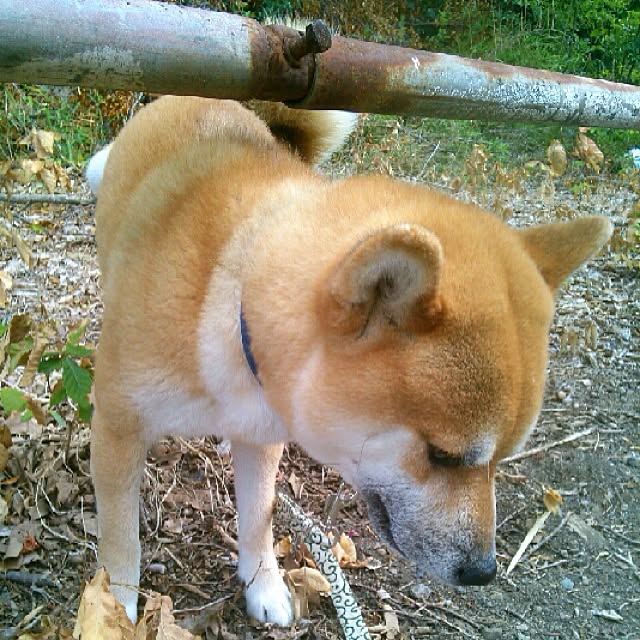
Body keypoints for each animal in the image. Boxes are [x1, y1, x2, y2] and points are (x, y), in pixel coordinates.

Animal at [87, 96, 612, 624]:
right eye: (441, 455)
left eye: (503, 459)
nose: (483, 572)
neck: (233, 293)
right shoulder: (117, 425)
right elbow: (121, 539)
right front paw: (114, 613)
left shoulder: (259, 436)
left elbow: (257, 519)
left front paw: (263, 585)